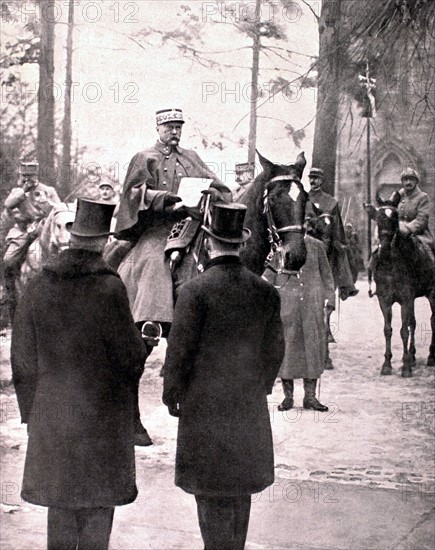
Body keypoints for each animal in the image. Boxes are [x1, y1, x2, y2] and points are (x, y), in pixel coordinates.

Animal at [372, 192, 435, 378]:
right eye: (379, 216)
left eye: (395, 217)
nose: (385, 245)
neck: (391, 264)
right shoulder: (385, 300)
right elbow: (388, 329)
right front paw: (387, 364)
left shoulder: (406, 299)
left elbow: (403, 330)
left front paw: (406, 367)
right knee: (413, 322)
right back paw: (413, 357)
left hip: (432, 294)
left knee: (432, 320)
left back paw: (430, 357)